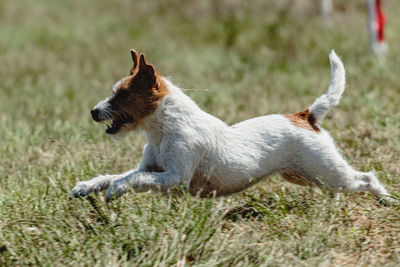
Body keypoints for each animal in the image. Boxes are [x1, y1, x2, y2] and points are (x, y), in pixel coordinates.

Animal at [72, 49, 390, 202]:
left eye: (123, 94)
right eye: (114, 91)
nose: (93, 111)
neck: (164, 130)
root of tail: (305, 116)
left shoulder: (174, 177)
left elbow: (132, 179)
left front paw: (115, 190)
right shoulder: (151, 168)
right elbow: (115, 175)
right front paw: (87, 187)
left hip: (329, 172)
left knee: (366, 179)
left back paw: (387, 201)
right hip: (307, 175)